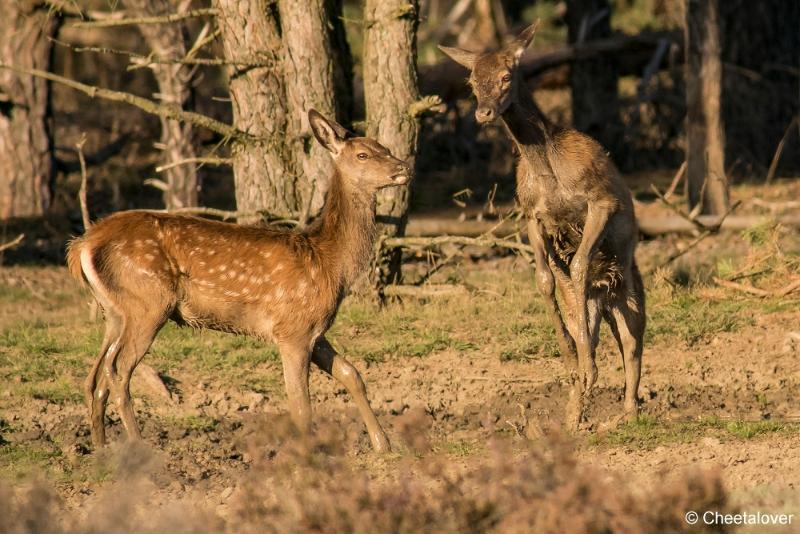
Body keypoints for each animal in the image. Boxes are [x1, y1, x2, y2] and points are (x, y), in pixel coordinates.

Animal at [67, 111, 412, 454]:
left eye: (383, 147)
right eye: (363, 154)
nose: (404, 168)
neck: (331, 264)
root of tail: (82, 245)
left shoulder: (314, 328)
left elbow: (351, 373)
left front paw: (384, 444)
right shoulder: (292, 328)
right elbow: (300, 404)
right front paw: (310, 455)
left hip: (115, 311)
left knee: (95, 376)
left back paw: (100, 448)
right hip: (149, 301)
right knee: (119, 369)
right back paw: (140, 447)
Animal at [440, 22, 648, 432]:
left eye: (507, 75)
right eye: (472, 81)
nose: (484, 112)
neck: (549, 171)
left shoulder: (600, 200)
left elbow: (581, 264)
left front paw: (589, 371)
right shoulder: (532, 217)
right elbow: (544, 281)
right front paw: (573, 367)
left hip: (627, 277)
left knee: (633, 336)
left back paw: (629, 409)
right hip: (602, 293)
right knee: (598, 325)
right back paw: (575, 411)